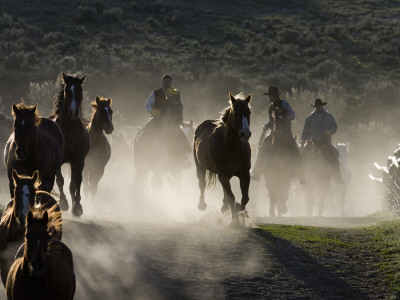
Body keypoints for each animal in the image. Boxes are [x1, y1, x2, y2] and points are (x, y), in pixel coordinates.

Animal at [49, 74, 90, 217]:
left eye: (80, 91)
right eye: (67, 90)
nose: (73, 111)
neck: (68, 131)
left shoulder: (78, 160)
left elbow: (75, 182)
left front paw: (76, 206)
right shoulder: (58, 161)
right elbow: (60, 180)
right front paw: (63, 202)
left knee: (78, 180)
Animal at [193, 92, 252, 221]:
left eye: (249, 112)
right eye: (235, 113)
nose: (245, 134)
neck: (233, 148)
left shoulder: (245, 173)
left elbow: (245, 197)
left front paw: (238, 207)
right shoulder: (223, 174)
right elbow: (231, 197)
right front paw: (235, 219)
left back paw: (224, 207)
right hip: (200, 166)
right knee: (202, 183)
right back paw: (202, 205)